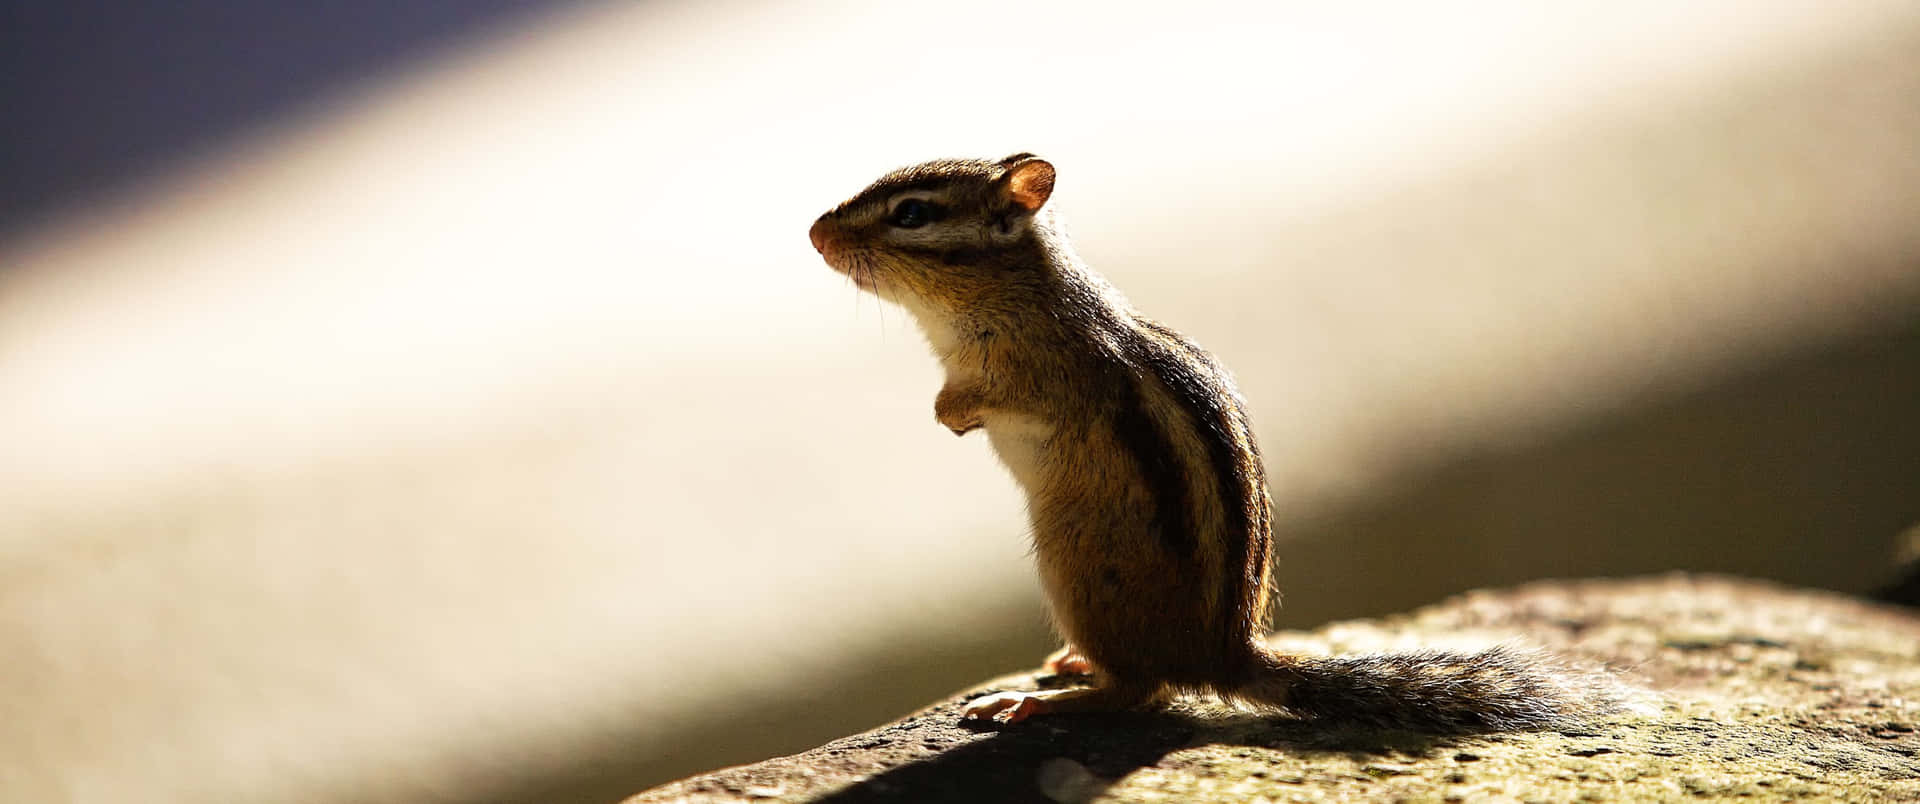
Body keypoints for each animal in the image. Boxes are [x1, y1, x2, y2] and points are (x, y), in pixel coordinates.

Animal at [807, 154, 1631, 732]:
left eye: (912, 213)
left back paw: (1040, 701)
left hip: (1074, 567)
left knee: (1139, 691)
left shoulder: (1046, 374)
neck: (1008, 299)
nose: (815, 232)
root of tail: (1226, 656)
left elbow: (991, 396)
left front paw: (950, 411)